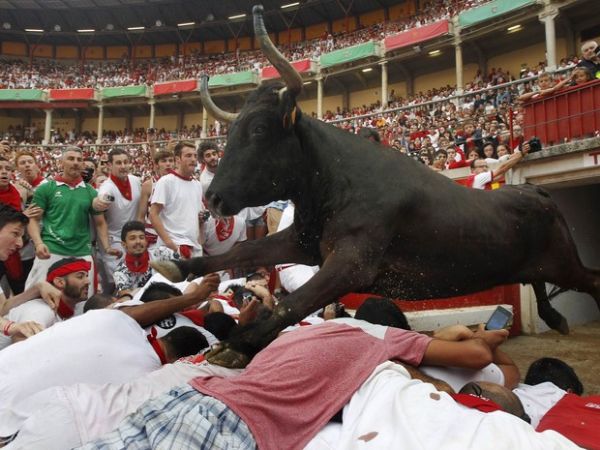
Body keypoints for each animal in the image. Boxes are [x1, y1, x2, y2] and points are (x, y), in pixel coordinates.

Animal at [150, 6, 600, 370]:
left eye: (259, 129)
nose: (212, 197)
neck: (332, 184)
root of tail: (534, 192)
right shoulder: (304, 241)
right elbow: (245, 251)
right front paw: (183, 267)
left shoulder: (353, 261)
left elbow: (292, 301)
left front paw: (237, 346)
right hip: (535, 264)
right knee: (541, 282)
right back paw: (556, 318)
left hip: (563, 262)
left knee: (592, 280)